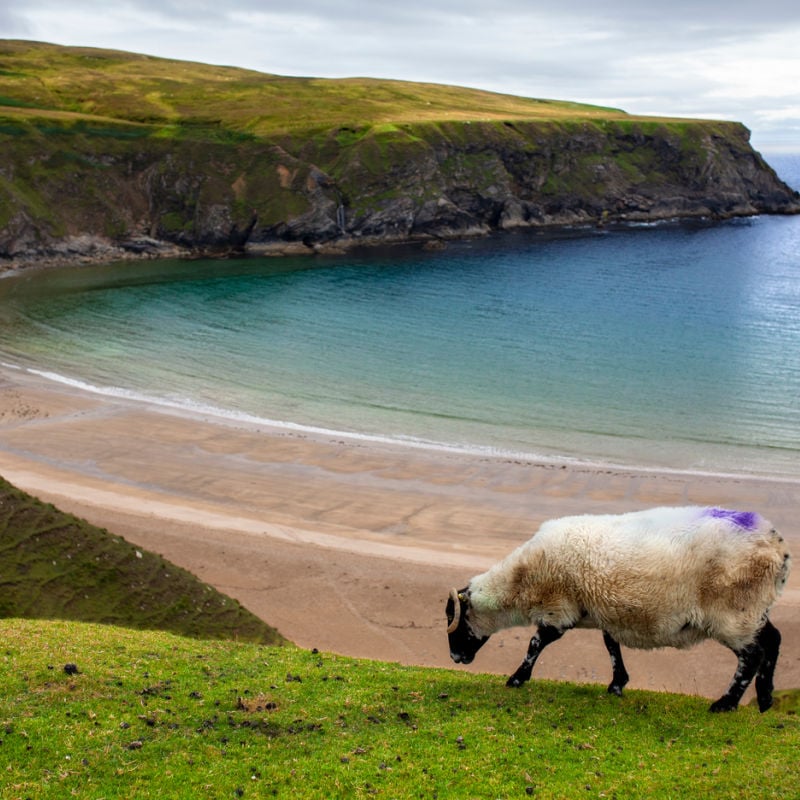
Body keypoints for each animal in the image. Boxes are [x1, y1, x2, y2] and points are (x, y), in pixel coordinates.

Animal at [446, 506, 792, 712]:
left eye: (458, 624)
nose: (455, 658)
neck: (520, 579)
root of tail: (779, 549)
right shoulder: (599, 611)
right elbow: (610, 644)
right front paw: (617, 684)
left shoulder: (558, 609)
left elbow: (536, 644)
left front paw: (517, 678)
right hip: (753, 611)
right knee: (773, 640)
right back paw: (764, 699)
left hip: (733, 613)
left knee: (752, 655)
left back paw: (726, 703)